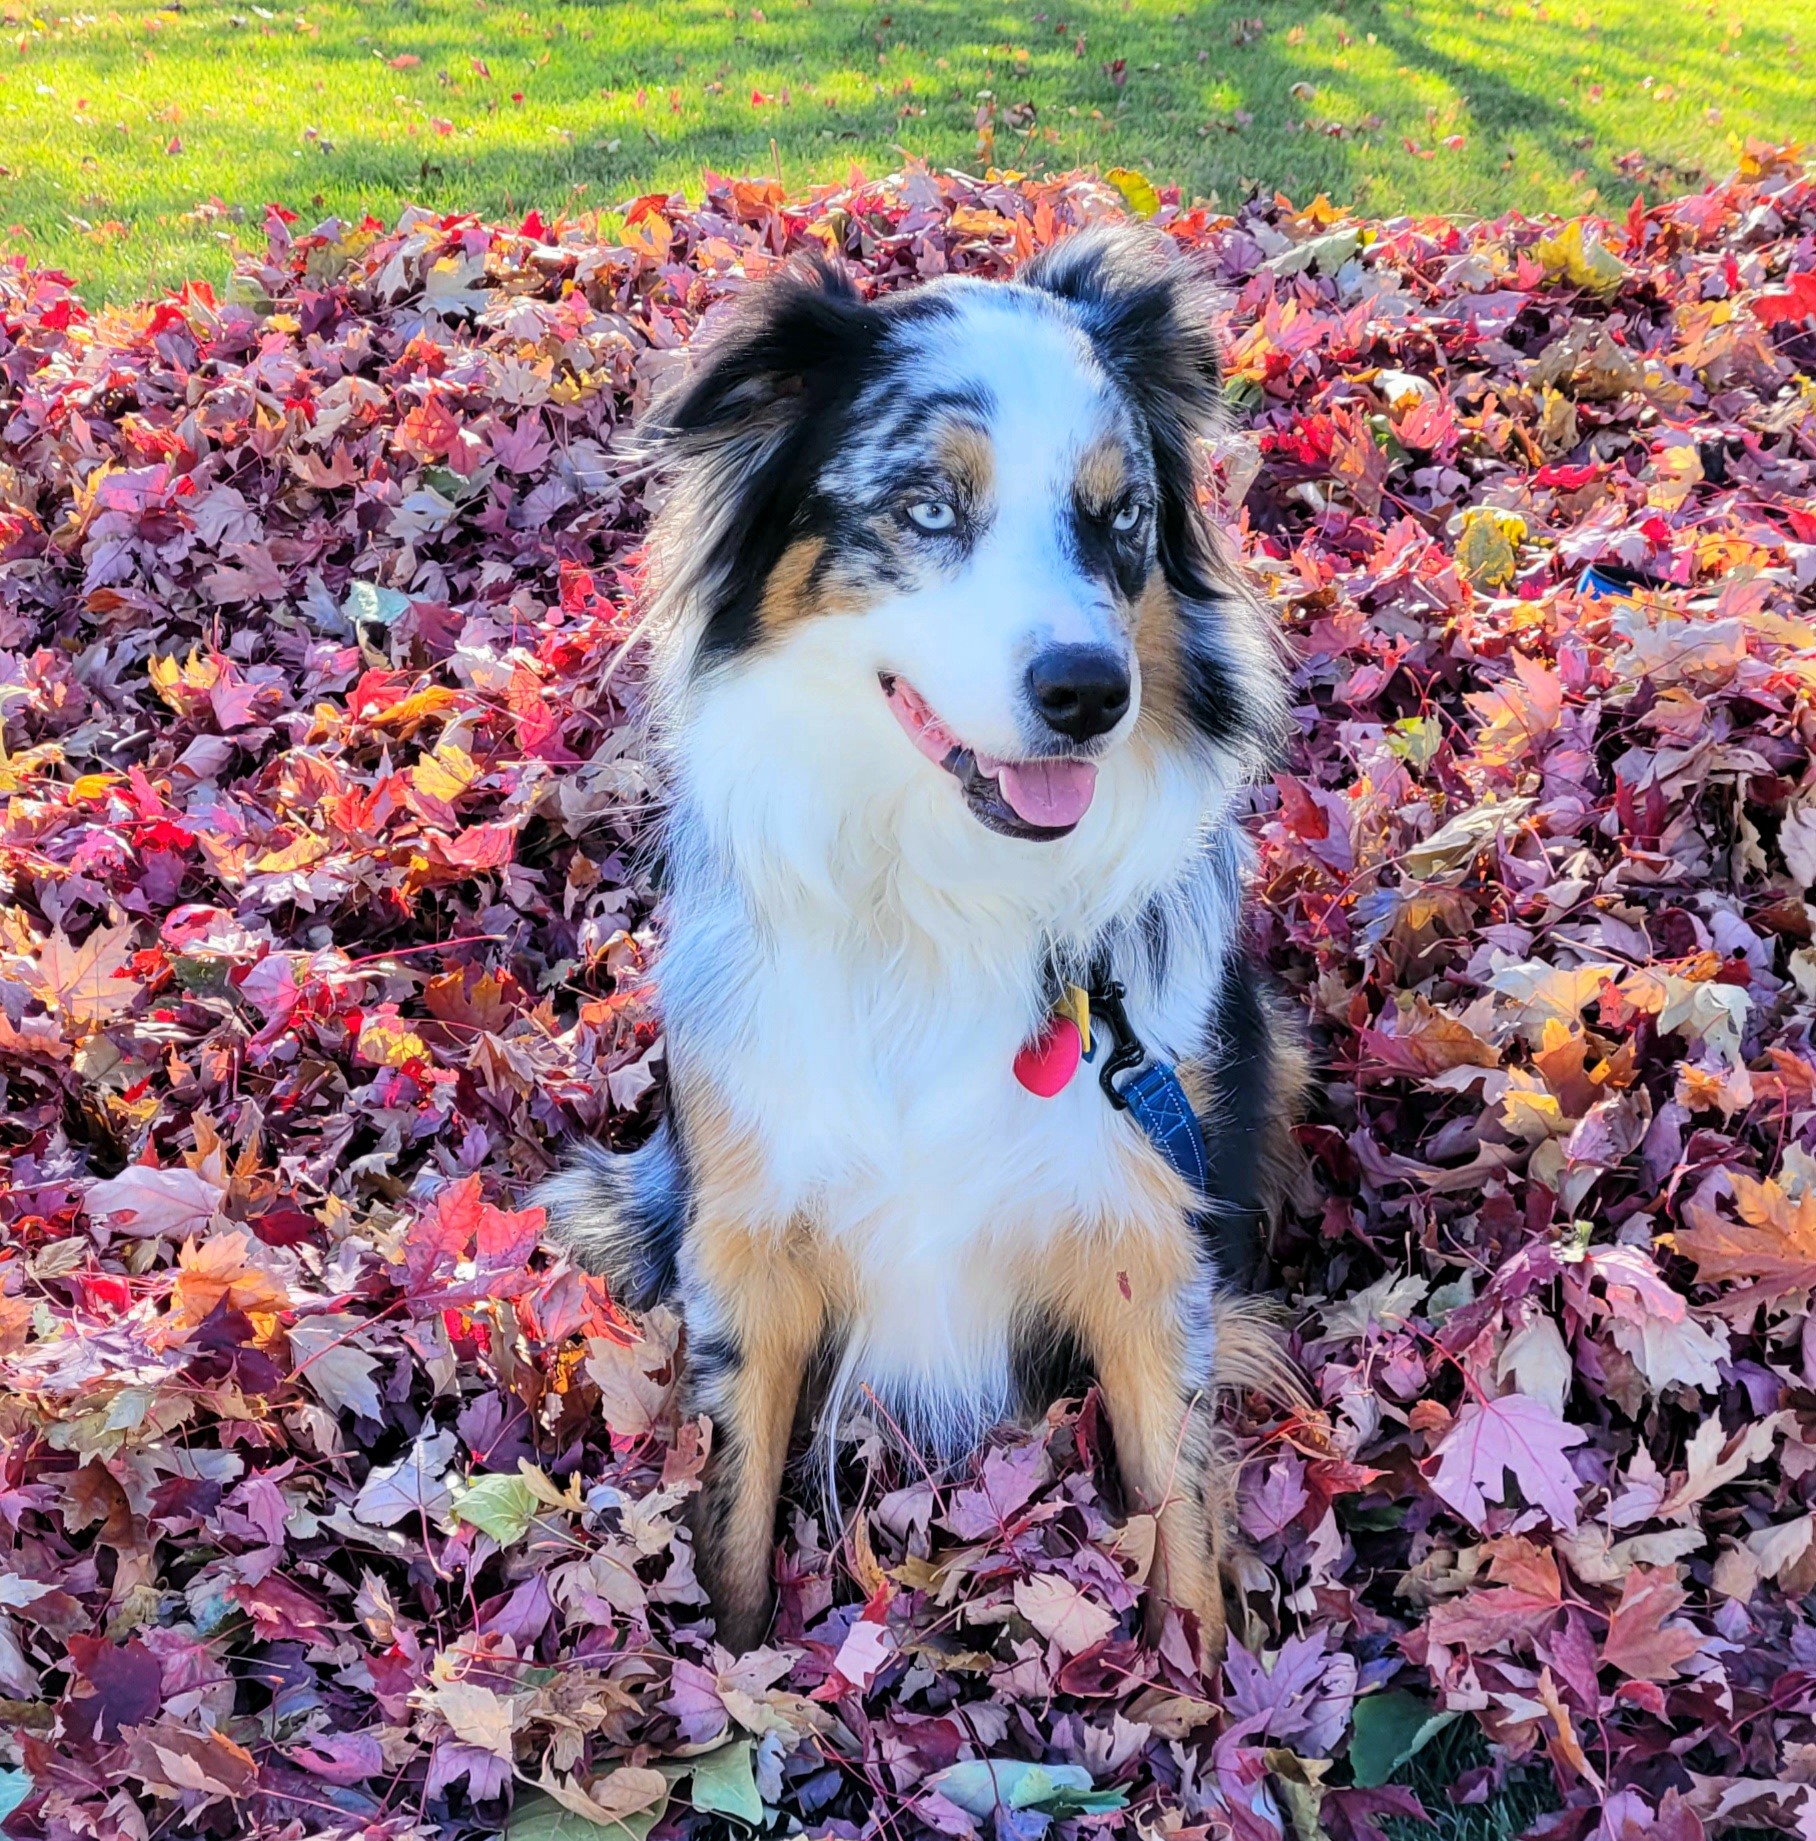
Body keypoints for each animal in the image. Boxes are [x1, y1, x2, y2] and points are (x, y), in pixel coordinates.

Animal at [537, 222, 1303, 1664]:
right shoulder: (747, 1234)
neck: (946, 898)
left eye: (1119, 517)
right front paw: (730, 1669)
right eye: (929, 508)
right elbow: (733, 1512)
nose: (1088, 691)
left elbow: (1177, 1509)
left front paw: (1199, 1693)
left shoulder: (1148, 1240)